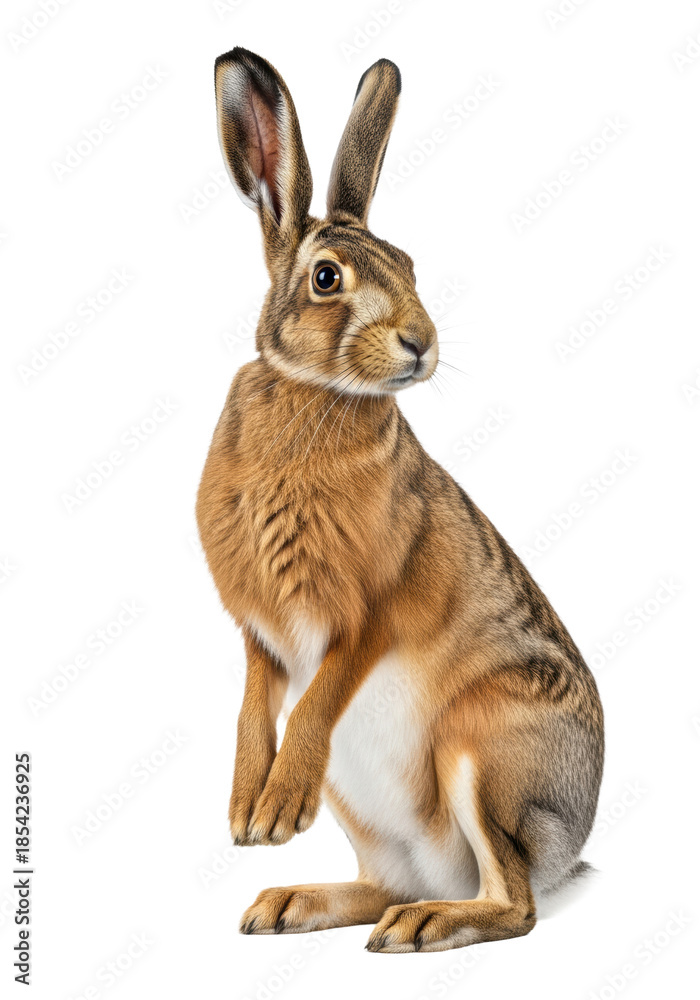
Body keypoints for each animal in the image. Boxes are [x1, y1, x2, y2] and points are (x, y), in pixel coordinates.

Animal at [196, 47, 604, 953]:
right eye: (326, 279)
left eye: (410, 267)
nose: (422, 342)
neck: (316, 394)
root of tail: (570, 846)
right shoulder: (260, 635)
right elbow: (251, 710)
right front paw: (247, 816)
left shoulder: (368, 614)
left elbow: (317, 699)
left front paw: (276, 812)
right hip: (367, 808)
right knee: (384, 884)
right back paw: (288, 903)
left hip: (476, 751)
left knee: (513, 904)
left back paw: (425, 924)